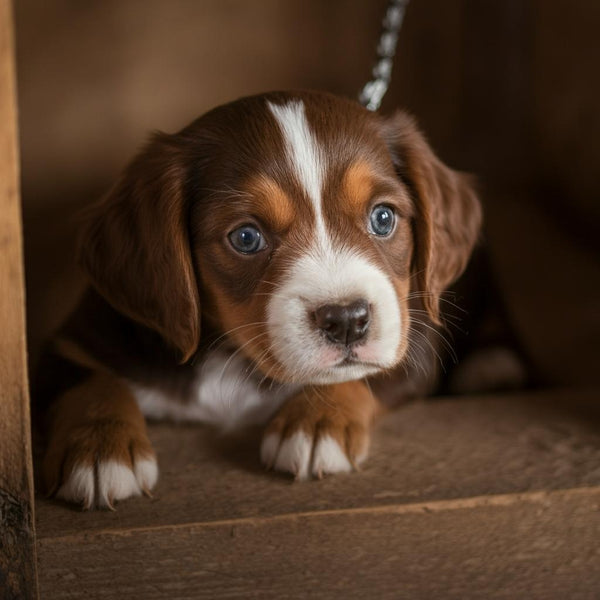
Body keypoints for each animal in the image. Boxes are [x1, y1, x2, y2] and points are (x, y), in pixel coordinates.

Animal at [35, 91, 480, 508]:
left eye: (383, 218)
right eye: (246, 237)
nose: (346, 320)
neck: (231, 357)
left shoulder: (413, 333)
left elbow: (362, 373)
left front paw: (318, 422)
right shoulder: (71, 342)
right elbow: (92, 382)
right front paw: (99, 449)